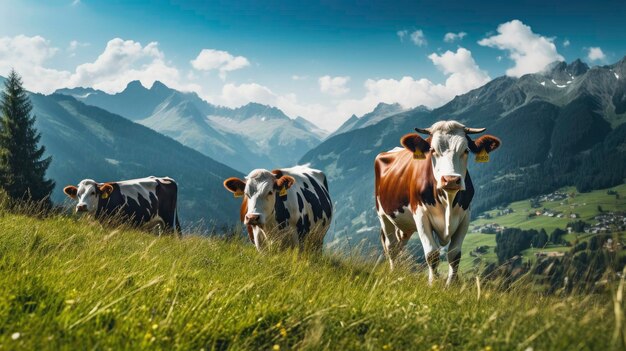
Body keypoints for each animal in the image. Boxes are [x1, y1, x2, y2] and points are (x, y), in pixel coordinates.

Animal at [372, 121, 500, 286]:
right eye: (432, 150)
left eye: (466, 150)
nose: (451, 179)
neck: (448, 201)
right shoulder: (420, 215)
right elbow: (432, 254)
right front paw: (433, 283)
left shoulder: (465, 217)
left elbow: (454, 255)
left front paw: (451, 285)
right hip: (383, 215)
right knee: (391, 246)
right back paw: (393, 272)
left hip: (405, 225)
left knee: (400, 245)